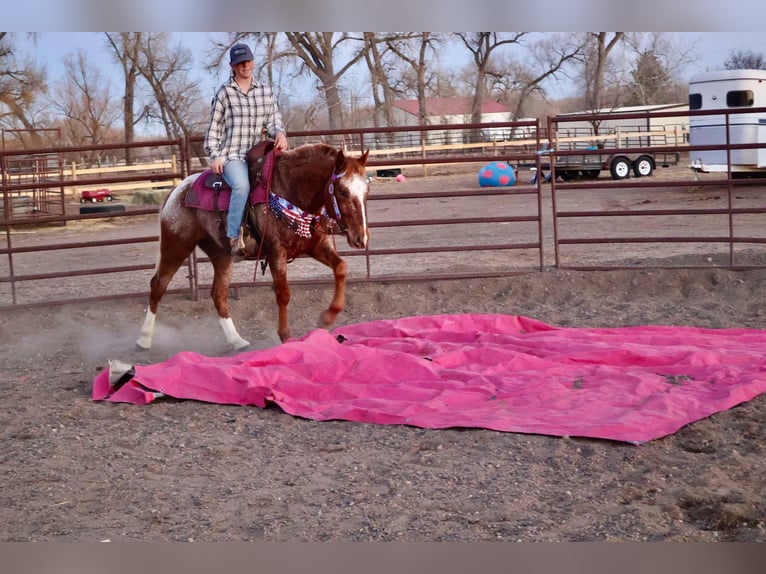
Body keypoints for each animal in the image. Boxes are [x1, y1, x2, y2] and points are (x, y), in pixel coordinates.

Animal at [137, 143, 372, 352]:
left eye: (366, 191)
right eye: (342, 192)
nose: (360, 237)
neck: (290, 191)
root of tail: (176, 191)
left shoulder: (316, 246)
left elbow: (341, 268)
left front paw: (328, 316)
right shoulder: (277, 253)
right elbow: (283, 294)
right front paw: (285, 337)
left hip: (220, 254)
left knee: (218, 294)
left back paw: (237, 341)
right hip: (176, 246)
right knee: (158, 286)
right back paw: (144, 339)